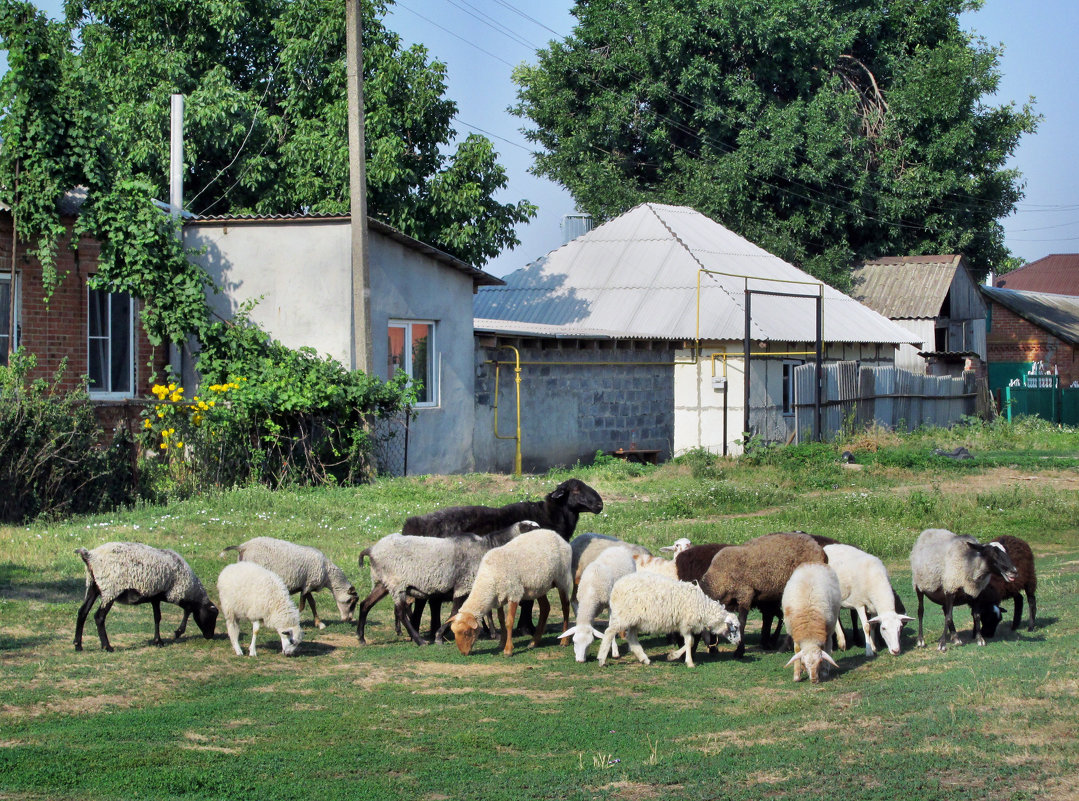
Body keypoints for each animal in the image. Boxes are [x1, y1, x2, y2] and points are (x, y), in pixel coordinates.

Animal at [73, 541, 219, 656]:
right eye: (212, 616)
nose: (210, 636)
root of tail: (90, 556)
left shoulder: (155, 596)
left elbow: (157, 617)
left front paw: (158, 641)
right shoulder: (175, 592)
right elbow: (188, 609)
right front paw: (177, 632)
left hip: (93, 585)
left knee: (82, 612)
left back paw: (78, 645)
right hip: (110, 589)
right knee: (99, 617)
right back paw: (107, 647)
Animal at [219, 535, 358, 630]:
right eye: (350, 602)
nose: (349, 619)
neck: (328, 574)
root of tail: (243, 546)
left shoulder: (306, 585)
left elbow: (312, 603)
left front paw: (319, 623)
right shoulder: (308, 585)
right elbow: (303, 605)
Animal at [591, 569, 742, 669]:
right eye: (734, 627)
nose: (739, 641)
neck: (702, 606)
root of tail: (616, 586)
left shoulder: (684, 625)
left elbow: (690, 642)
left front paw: (676, 657)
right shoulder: (686, 623)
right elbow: (690, 642)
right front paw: (686, 661)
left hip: (634, 620)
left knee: (631, 637)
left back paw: (644, 659)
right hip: (624, 616)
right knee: (609, 632)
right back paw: (602, 659)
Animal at [694, 533, 828, 660]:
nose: (693, 654)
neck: (719, 577)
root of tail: (821, 551)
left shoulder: (745, 594)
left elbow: (742, 623)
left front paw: (739, 652)